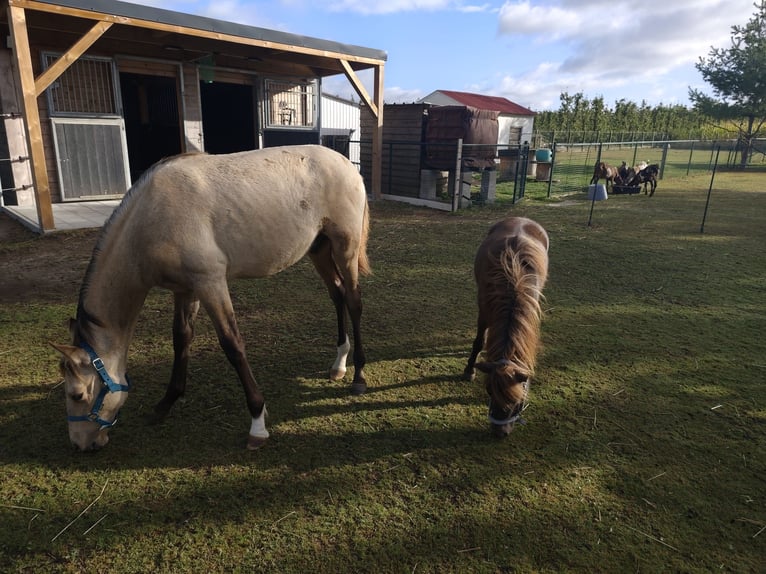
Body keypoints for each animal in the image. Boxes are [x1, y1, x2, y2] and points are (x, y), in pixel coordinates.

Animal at [52, 144, 371, 452]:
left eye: (77, 394)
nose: (80, 444)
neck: (151, 217)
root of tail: (346, 163)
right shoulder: (185, 289)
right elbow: (181, 339)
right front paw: (166, 403)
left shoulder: (210, 283)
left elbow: (232, 345)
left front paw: (257, 423)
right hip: (319, 249)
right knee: (337, 294)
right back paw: (339, 364)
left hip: (345, 247)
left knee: (354, 301)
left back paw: (358, 376)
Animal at [463, 217, 549, 438]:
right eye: (489, 391)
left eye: (519, 400)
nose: (499, 432)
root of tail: (522, 218)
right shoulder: (484, 312)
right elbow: (479, 342)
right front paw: (469, 370)